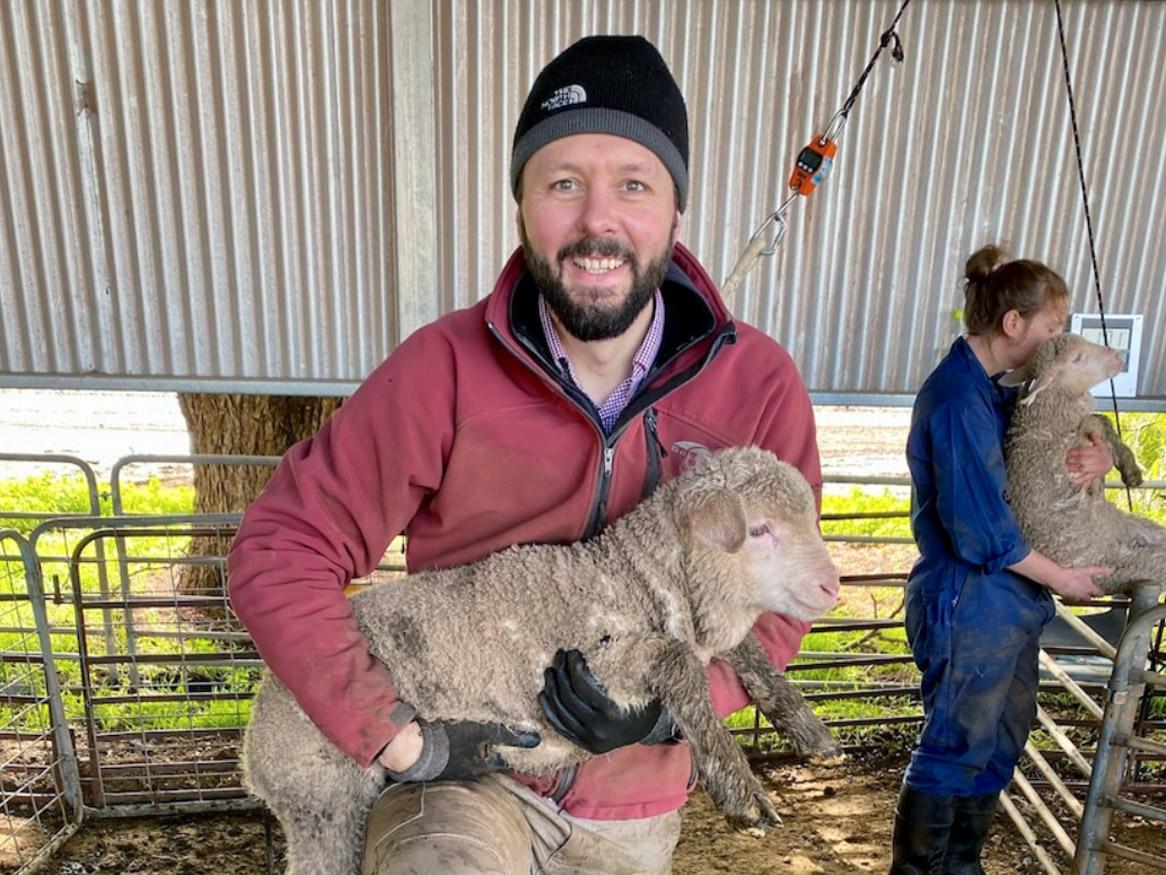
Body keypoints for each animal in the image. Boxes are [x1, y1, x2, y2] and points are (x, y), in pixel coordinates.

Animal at [243, 448, 839, 872]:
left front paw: (808, 729)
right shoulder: (598, 665)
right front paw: (742, 791)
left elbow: (750, 652)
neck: (637, 580)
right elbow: (681, 666)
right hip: (324, 800)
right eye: (760, 530)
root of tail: (251, 746)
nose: (831, 587)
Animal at [998, 333, 1161, 597]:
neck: (1048, 418)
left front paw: (1130, 468)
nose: (1115, 355)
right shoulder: (1071, 452)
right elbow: (1095, 421)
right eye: (1076, 358)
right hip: (1123, 568)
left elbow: (1101, 420)